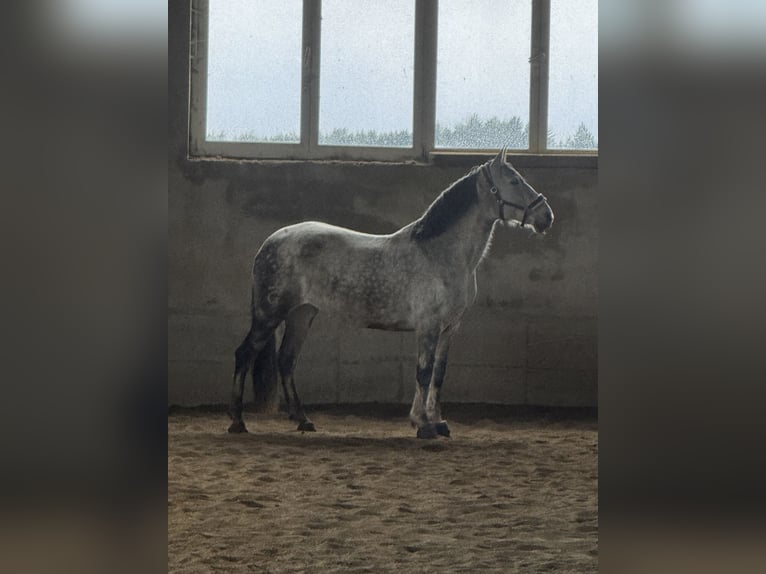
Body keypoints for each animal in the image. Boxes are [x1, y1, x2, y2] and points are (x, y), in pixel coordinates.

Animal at [228, 147, 554, 438]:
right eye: (514, 181)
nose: (546, 216)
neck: (441, 254)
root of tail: (270, 242)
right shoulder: (428, 326)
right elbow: (423, 373)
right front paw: (423, 425)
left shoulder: (450, 328)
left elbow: (439, 374)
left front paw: (438, 422)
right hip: (269, 314)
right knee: (244, 354)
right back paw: (237, 422)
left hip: (301, 314)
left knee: (286, 360)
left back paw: (303, 420)